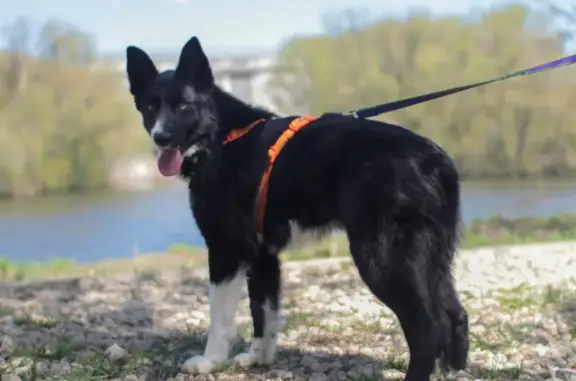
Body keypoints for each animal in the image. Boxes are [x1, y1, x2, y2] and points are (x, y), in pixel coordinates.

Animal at [125, 35, 468, 380]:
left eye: (184, 105)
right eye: (151, 107)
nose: (161, 137)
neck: (221, 137)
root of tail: (434, 158)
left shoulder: (225, 251)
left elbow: (220, 316)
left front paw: (211, 361)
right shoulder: (262, 255)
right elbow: (263, 312)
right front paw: (259, 357)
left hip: (383, 259)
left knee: (427, 326)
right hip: (432, 261)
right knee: (455, 315)